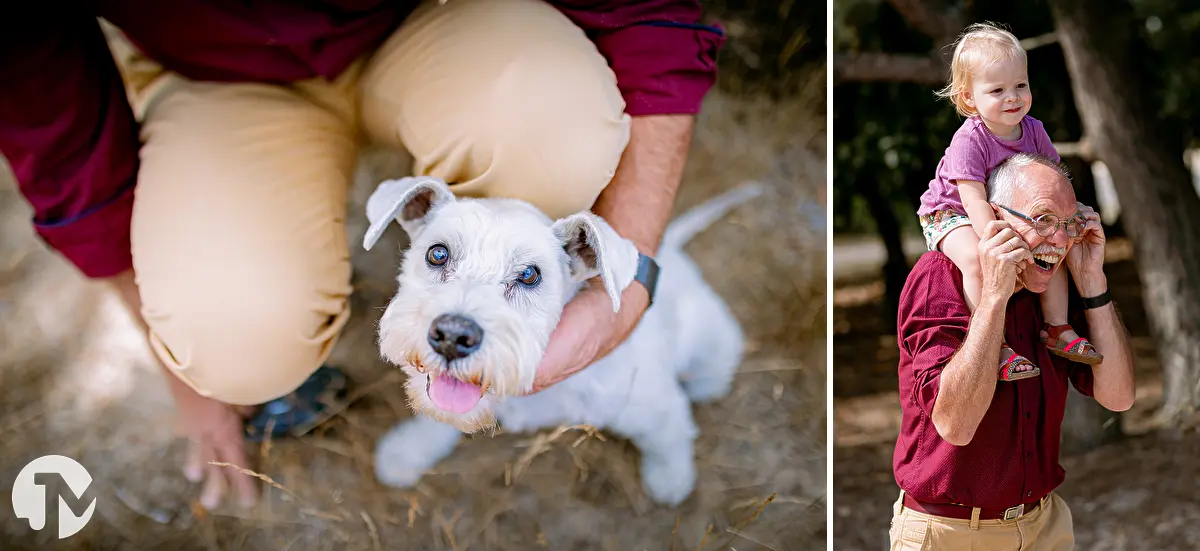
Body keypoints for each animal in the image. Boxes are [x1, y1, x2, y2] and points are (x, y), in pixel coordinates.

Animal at [360, 177, 753, 508]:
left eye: (529, 275)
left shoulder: (653, 403)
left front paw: (671, 478)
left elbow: (670, 436)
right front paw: (408, 450)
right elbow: (436, 415)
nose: (453, 337)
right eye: (437, 254)